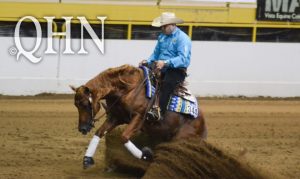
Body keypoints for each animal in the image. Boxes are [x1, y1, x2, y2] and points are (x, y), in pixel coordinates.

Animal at [70, 64, 206, 169]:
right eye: (76, 105)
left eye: (84, 104)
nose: (82, 128)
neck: (128, 89)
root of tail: (202, 122)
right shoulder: (116, 117)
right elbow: (99, 132)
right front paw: (87, 159)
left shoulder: (138, 117)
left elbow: (124, 137)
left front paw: (146, 155)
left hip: (180, 139)